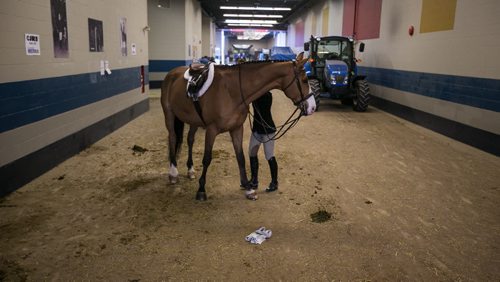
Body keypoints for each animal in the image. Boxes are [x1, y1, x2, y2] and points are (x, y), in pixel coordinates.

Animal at [161, 52, 316, 200]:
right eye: (304, 80)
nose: (313, 107)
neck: (231, 90)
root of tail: (172, 73)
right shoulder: (211, 130)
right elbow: (207, 158)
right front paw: (201, 190)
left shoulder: (236, 128)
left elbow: (241, 157)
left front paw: (248, 188)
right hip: (169, 115)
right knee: (173, 138)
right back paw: (173, 173)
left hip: (194, 121)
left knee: (190, 140)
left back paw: (190, 170)